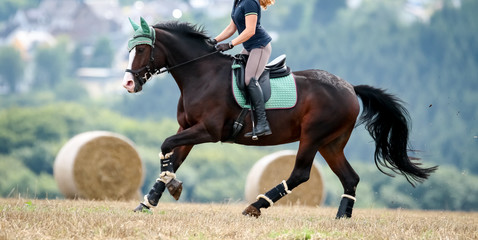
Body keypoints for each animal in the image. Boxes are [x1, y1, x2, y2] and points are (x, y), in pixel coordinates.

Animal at [122, 17, 436, 218]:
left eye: (141, 49)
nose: (128, 84)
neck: (202, 74)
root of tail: (349, 87)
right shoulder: (187, 128)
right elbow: (172, 157)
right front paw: (148, 202)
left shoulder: (208, 131)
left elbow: (165, 145)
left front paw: (171, 187)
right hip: (331, 143)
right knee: (350, 178)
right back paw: (342, 217)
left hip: (312, 137)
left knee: (300, 174)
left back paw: (255, 206)